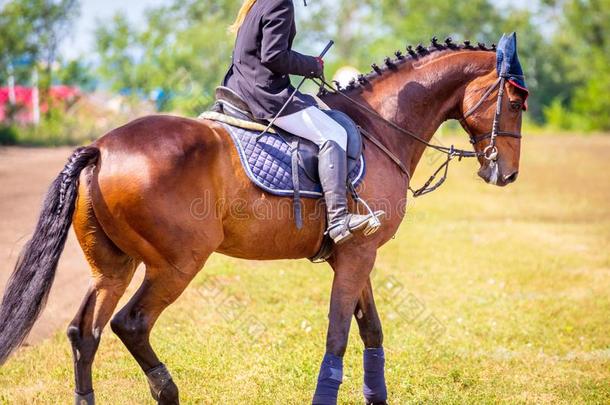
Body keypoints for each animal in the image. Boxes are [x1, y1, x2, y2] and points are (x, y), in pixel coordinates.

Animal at [0, 38, 524, 404]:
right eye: (517, 102)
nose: (507, 174)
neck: (379, 127)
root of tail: (101, 148)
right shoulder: (357, 254)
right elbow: (338, 335)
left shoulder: (358, 255)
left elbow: (370, 330)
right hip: (176, 265)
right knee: (131, 324)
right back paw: (168, 391)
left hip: (113, 266)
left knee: (82, 333)